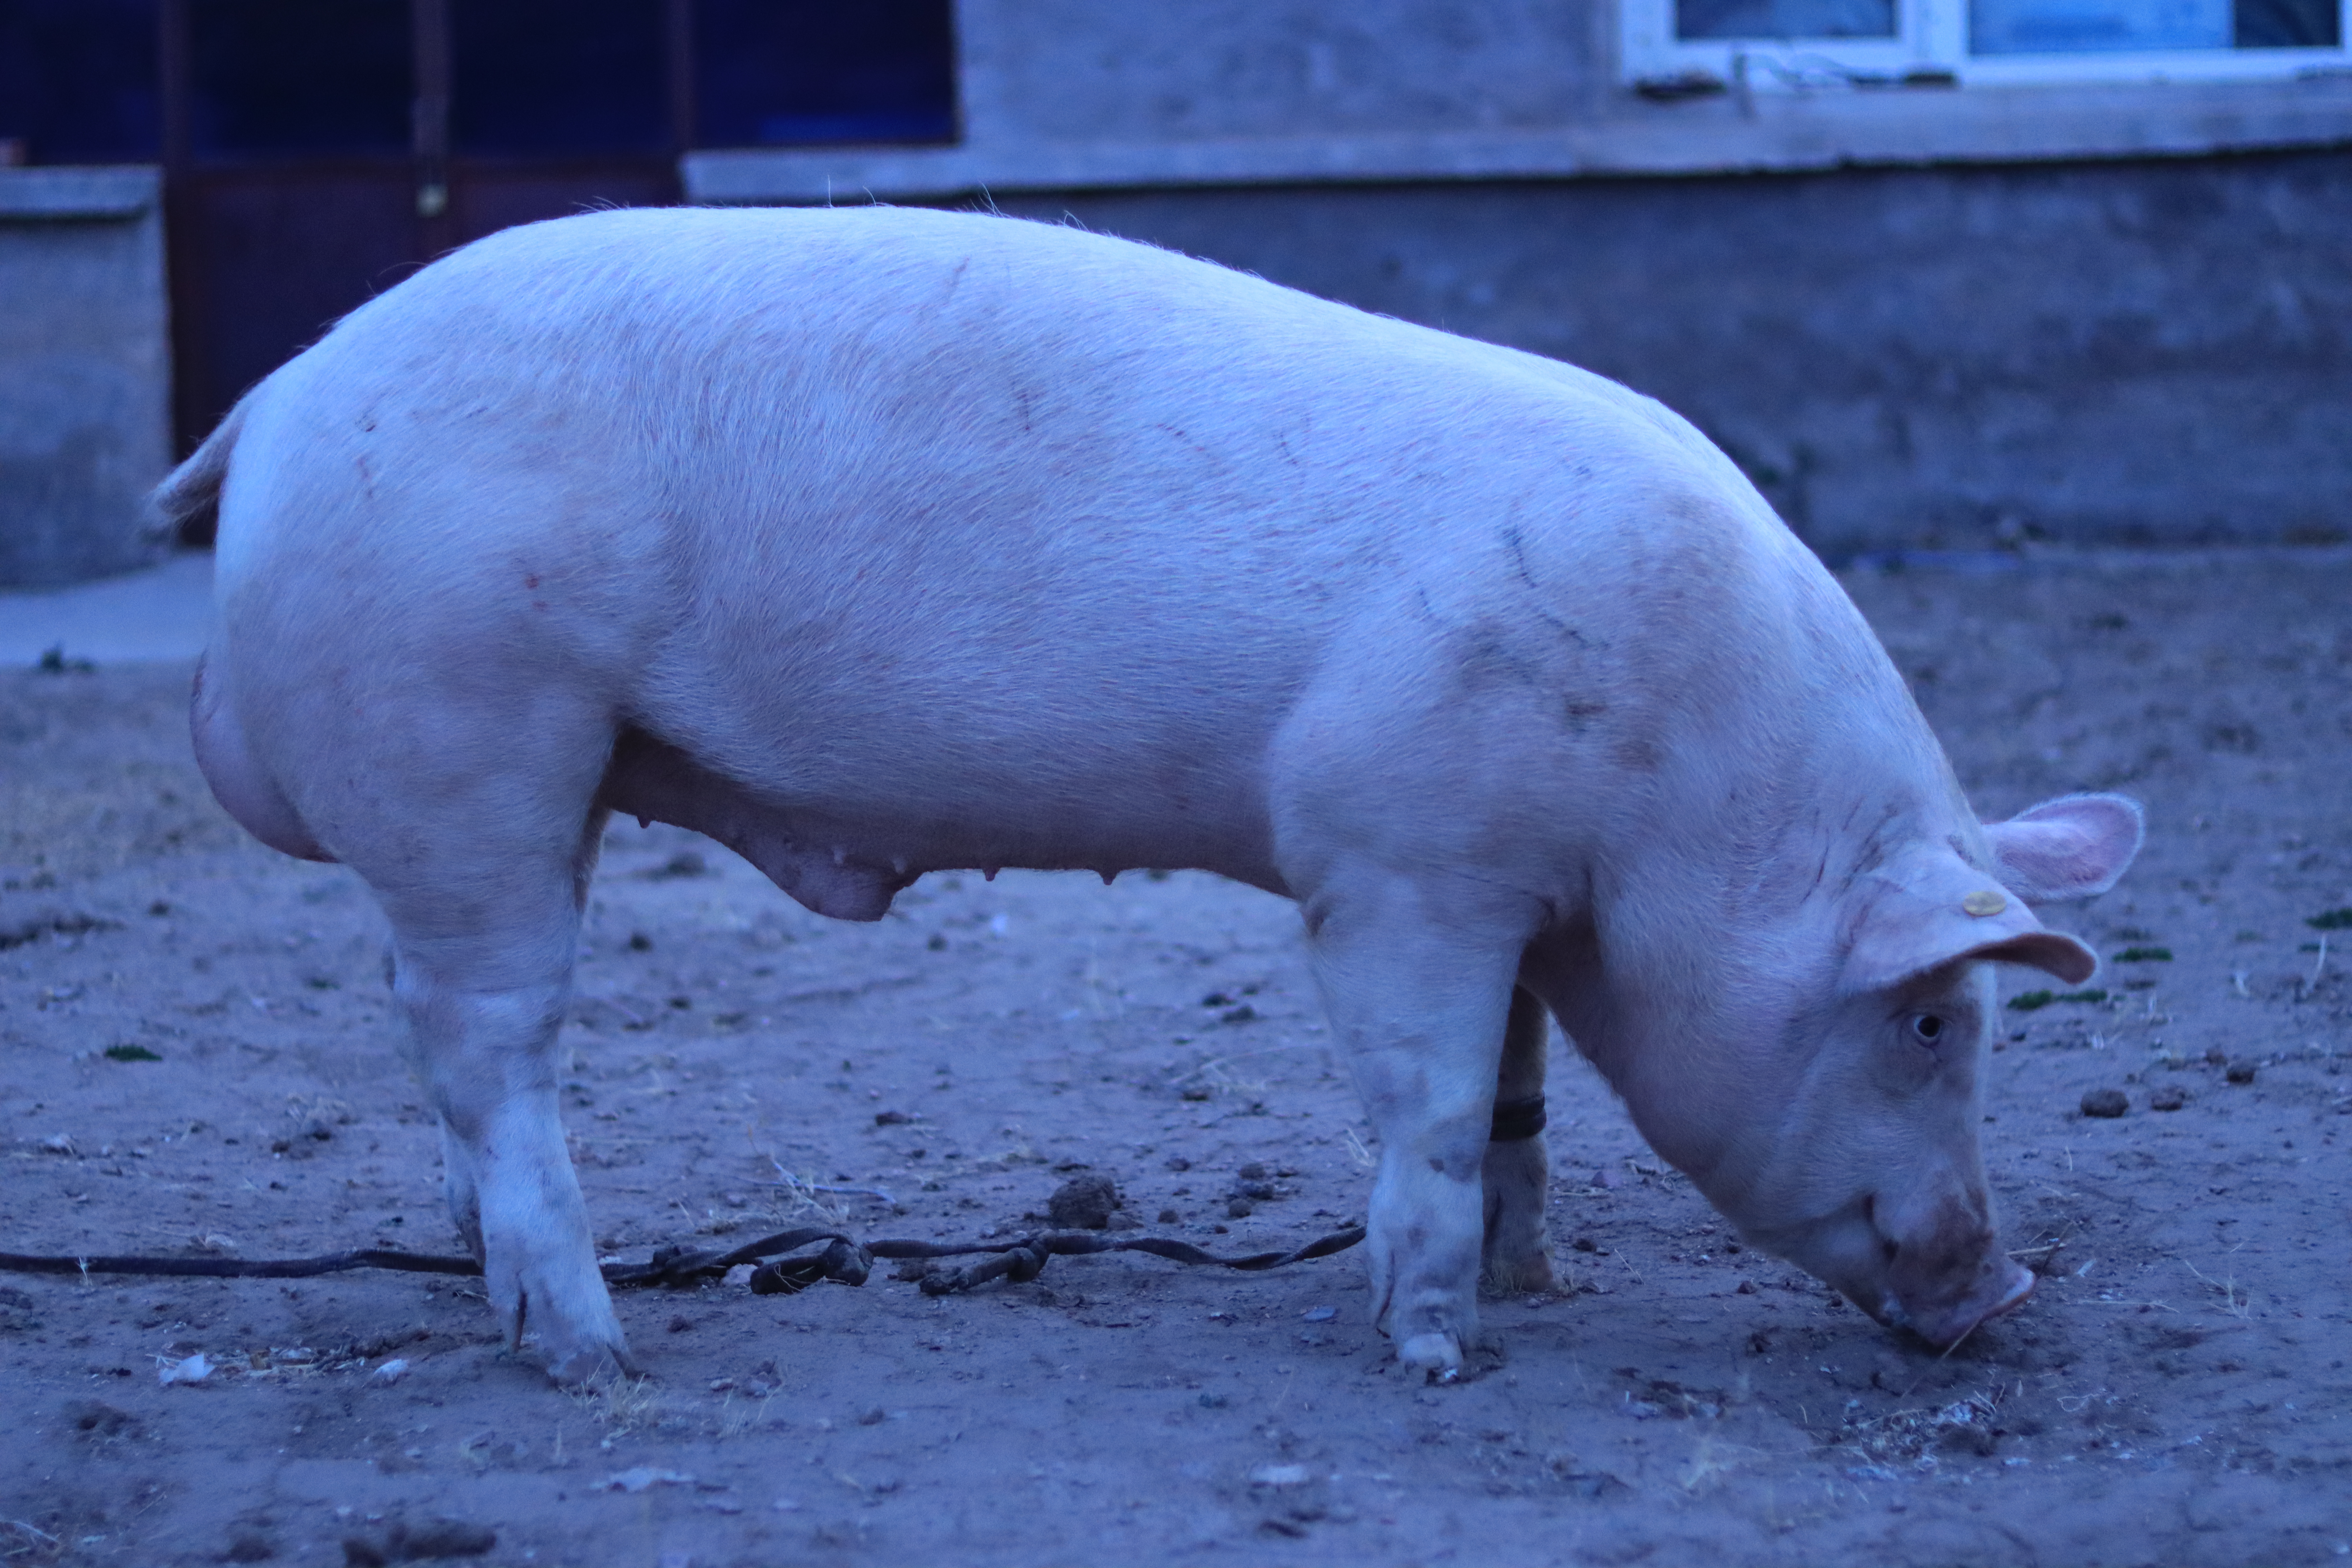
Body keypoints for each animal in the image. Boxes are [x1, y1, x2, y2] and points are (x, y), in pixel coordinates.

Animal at [155, 206, 2142, 1383]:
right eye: (1933, 1024)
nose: (2006, 1289)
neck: (1686, 788)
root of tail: (280, 396)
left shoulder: (1510, 888)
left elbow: (1517, 1094)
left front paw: (1536, 1293)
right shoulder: (1391, 858)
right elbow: (1429, 1103)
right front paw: (1437, 1360)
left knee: (432, 1041)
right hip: (472, 736)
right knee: (494, 1042)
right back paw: (594, 1358)